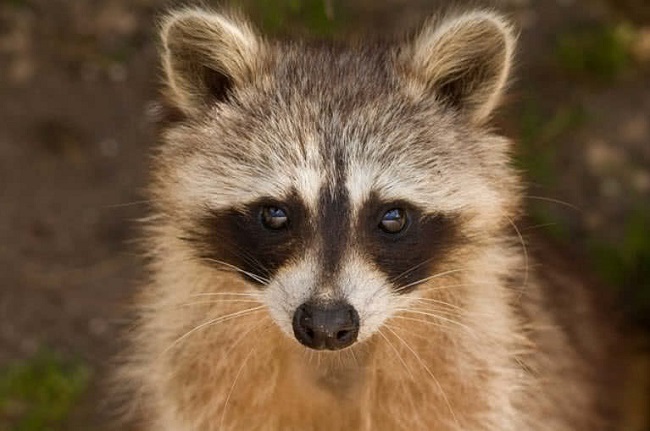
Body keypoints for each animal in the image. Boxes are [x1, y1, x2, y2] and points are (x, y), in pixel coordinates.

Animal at [118, 8, 621, 431]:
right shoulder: (198, 370)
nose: (325, 325)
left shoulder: (476, 377)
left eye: (393, 218)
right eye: (276, 214)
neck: (334, 363)